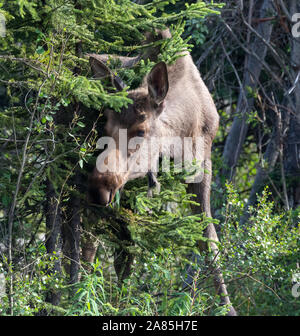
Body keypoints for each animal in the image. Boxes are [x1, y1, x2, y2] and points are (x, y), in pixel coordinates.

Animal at [86, 30, 237, 316]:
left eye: (141, 130)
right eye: (106, 128)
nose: (99, 188)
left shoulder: (203, 167)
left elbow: (209, 239)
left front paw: (227, 307)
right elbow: (125, 251)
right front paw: (116, 303)